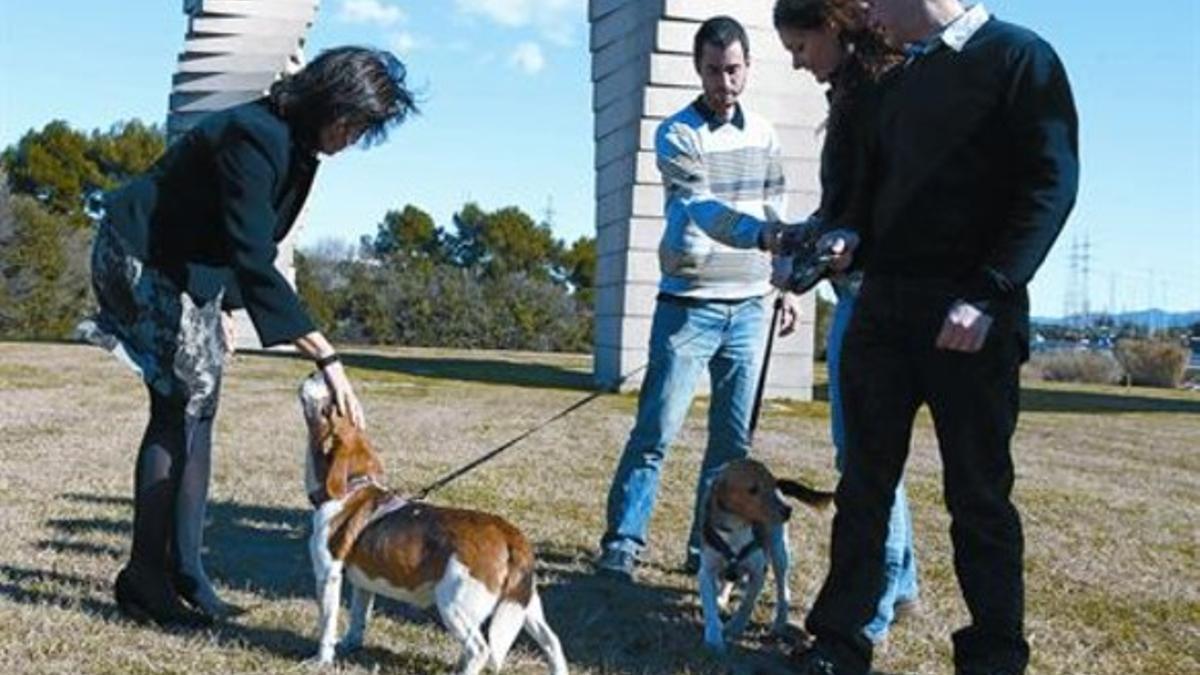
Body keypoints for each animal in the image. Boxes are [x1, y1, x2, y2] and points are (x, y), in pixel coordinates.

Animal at [297, 372, 564, 672]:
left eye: (329, 407)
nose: (316, 373)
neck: (352, 487)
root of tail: (508, 532)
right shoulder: (363, 584)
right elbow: (358, 619)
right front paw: (350, 645)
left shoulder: (328, 574)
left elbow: (326, 625)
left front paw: (322, 660)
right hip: (524, 605)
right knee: (552, 642)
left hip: (454, 604)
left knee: (479, 649)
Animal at [700, 456, 830, 653]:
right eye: (753, 489)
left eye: (771, 484)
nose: (788, 510)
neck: (737, 530)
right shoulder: (706, 571)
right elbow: (710, 606)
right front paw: (714, 635)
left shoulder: (759, 572)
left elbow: (747, 603)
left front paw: (735, 627)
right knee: (729, 580)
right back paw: (722, 598)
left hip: (780, 553)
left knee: (784, 591)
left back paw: (779, 623)